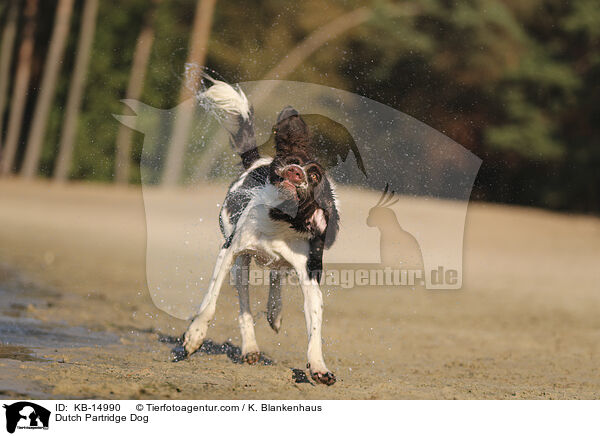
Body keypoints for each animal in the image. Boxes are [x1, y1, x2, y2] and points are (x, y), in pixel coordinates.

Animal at [180, 76, 340, 386]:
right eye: (291, 159)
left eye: (314, 175)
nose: (295, 171)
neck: (280, 222)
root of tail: (256, 161)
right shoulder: (229, 252)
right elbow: (210, 302)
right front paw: (194, 336)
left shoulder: (310, 276)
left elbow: (315, 328)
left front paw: (318, 367)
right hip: (240, 264)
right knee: (245, 304)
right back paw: (250, 347)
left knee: (277, 275)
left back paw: (274, 313)